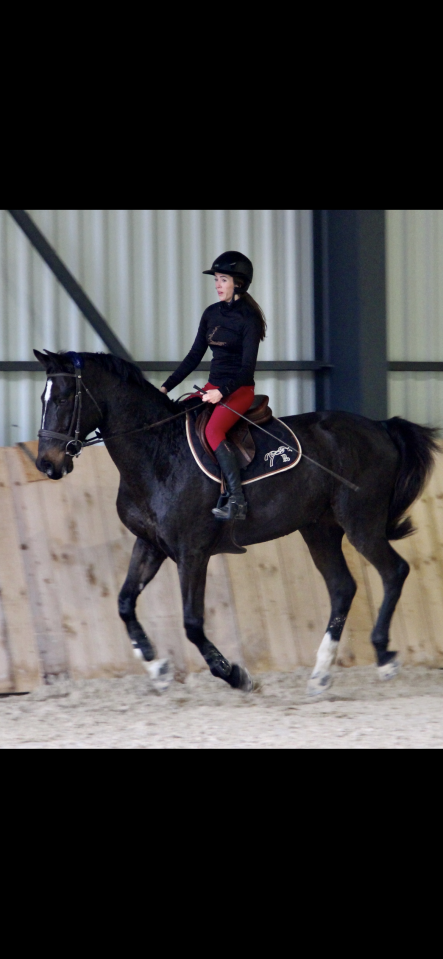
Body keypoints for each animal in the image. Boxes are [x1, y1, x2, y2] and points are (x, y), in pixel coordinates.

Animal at [33, 349, 440, 695]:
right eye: (42, 398)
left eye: (65, 397)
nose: (46, 464)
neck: (158, 450)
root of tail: (379, 426)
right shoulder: (150, 544)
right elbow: (124, 604)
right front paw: (158, 669)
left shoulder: (192, 551)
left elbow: (192, 623)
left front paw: (235, 675)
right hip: (319, 528)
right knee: (342, 588)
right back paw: (320, 674)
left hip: (361, 522)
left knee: (394, 571)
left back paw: (384, 657)